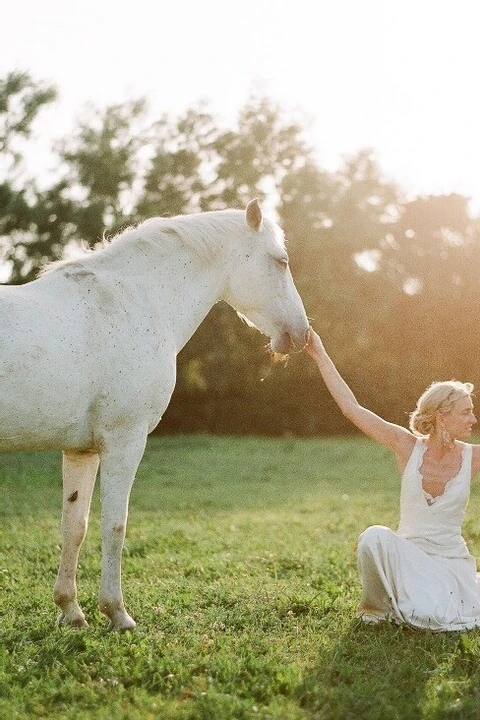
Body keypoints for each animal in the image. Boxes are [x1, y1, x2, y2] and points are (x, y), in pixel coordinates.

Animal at [0, 198, 308, 632]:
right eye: (281, 261)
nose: (301, 335)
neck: (134, 300)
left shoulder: (81, 451)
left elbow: (74, 526)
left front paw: (71, 611)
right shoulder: (124, 440)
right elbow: (115, 525)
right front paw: (117, 614)